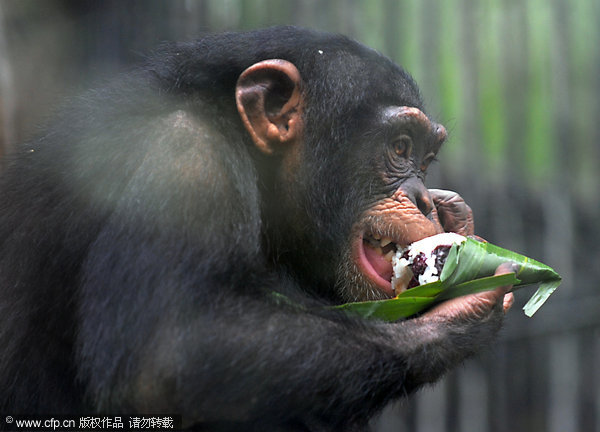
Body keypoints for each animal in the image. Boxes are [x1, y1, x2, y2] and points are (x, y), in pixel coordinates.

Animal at [0, 26, 516, 428]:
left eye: (426, 160)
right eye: (400, 146)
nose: (424, 198)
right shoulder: (182, 164)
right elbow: (162, 359)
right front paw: (461, 312)